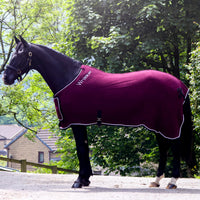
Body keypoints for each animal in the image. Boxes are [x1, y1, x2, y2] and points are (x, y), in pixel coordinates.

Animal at [3, 36, 196, 189]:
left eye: (19, 55)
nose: (5, 77)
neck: (69, 77)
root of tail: (180, 84)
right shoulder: (81, 122)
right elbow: (85, 148)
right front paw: (85, 179)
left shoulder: (76, 122)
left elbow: (81, 149)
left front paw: (79, 181)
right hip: (157, 124)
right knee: (164, 148)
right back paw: (156, 181)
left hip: (168, 123)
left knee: (175, 147)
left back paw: (172, 181)